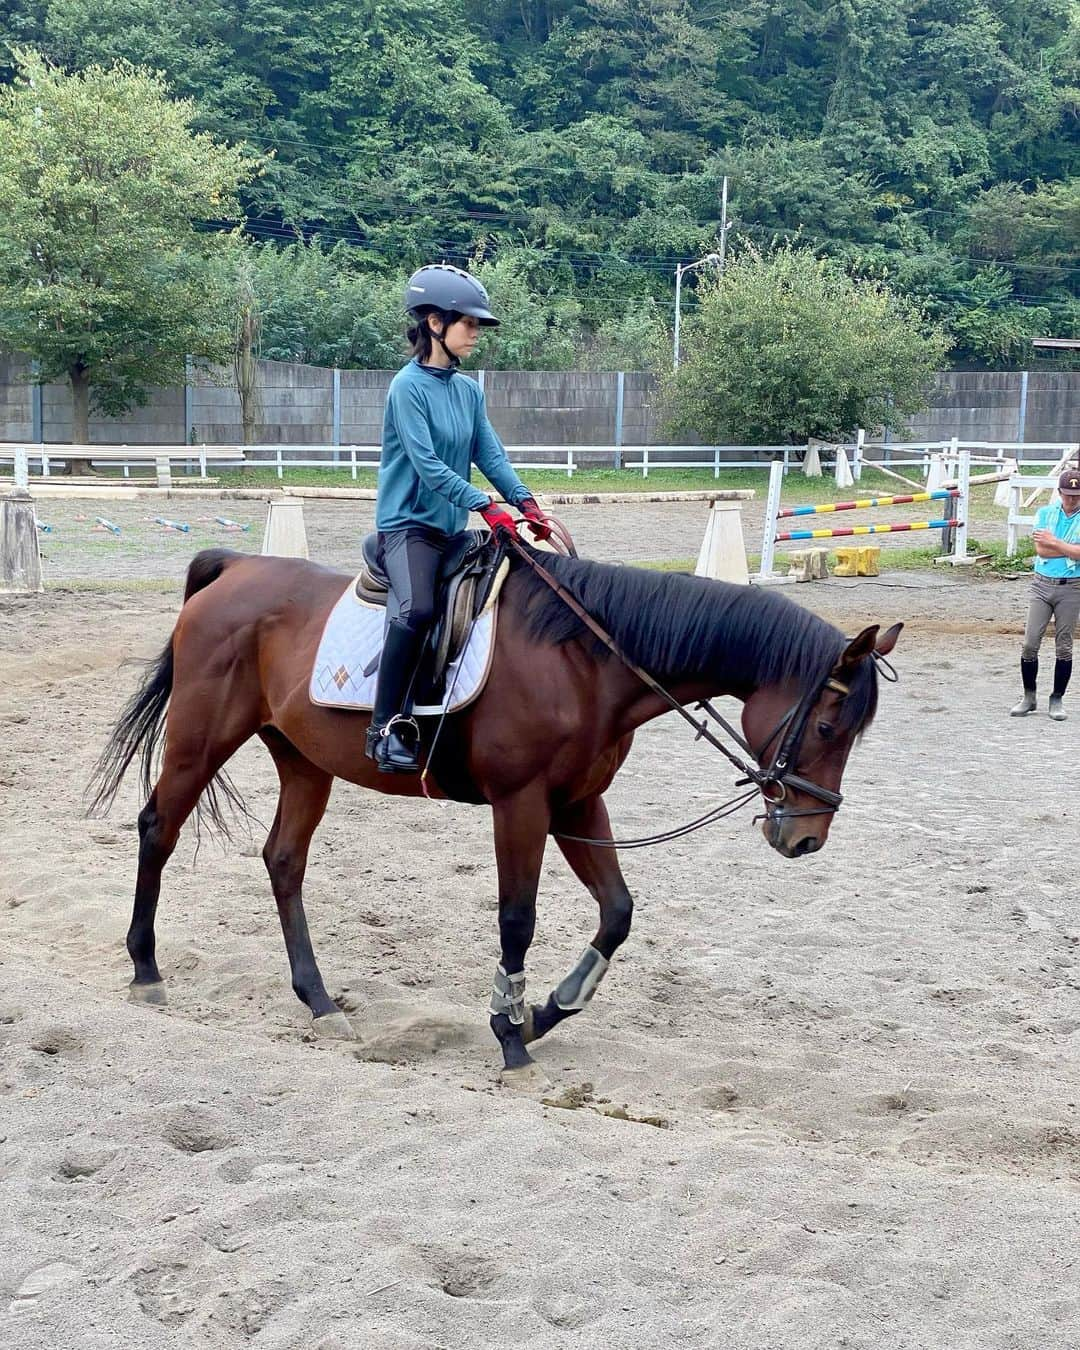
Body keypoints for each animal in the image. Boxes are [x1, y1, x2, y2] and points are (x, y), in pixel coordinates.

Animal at [90, 540, 901, 1085]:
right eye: (828, 726)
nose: (806, 838)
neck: (588, 661)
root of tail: (236, 568)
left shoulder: (579, 801)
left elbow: (617, 912)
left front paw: (545, 1012)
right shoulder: (522, 804)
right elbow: (518, 917)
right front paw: (510, 1035)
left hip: (303, 760)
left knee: (283, 861)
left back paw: (318, 1000)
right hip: (201, 738)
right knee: (158, 830)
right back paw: (146, 968)